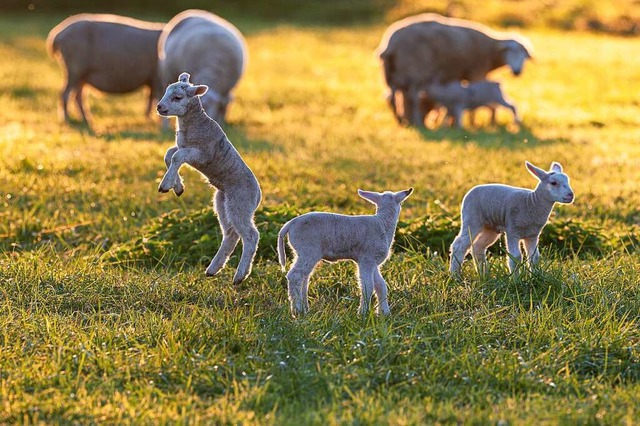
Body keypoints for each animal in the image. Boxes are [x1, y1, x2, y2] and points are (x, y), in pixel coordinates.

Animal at [156, 72, 262, 286]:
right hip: (222, 201)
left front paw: (166, 185)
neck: (193, 125)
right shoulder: (184, 147)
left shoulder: (203, 153)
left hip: (240, 201)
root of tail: (258, 194)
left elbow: (176, 156)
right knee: (230, 234)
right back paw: (213, 269)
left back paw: (240, 276)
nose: (159, 107)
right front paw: (177, 187)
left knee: (250, 235)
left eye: (177, 97)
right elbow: (169, 154)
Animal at [278, 188, 412, 318]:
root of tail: (289, 224)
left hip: (302, 252)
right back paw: (297, 310)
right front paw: (363, 313)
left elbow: (381, 286)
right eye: (401, 203)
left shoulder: (373, 262)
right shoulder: (367, 259)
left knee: (304, 277)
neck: (383, 223)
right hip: (308, 249)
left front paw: (384, 313)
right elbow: (368, 286)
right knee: (295, 276)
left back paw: (304, 308)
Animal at [378, 12, 532, 126]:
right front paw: (473, 121)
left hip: (393, 74)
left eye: (524, 56)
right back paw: (415, 122)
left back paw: (402, 120)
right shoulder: (477, 71)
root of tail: (390, 45)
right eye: (510, 53)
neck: (491, 49)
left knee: (392, 97)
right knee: (412, 97)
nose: (517, 72)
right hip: (414, 71)